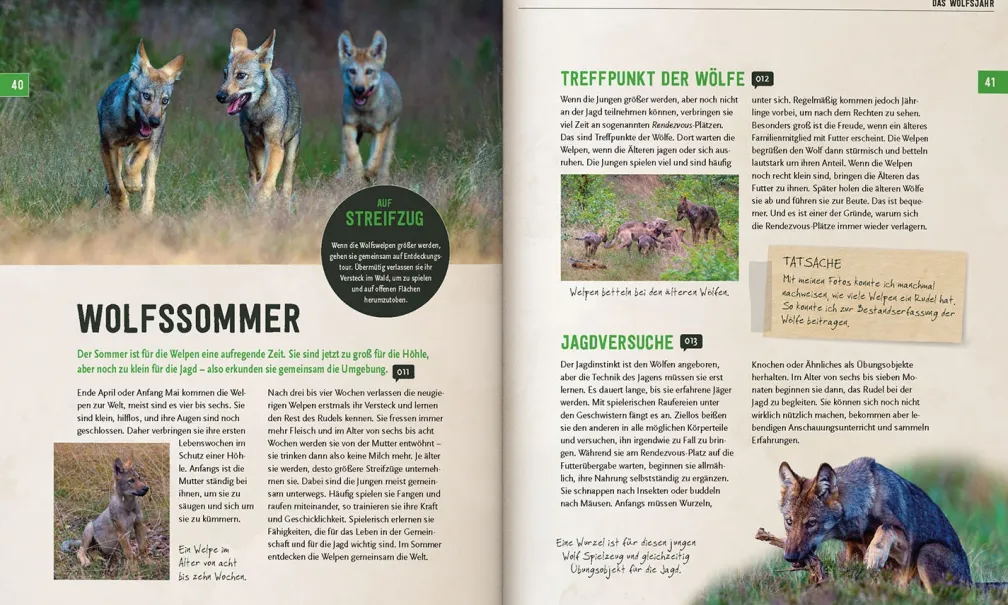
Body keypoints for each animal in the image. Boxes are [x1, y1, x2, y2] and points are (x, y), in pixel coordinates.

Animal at [97, 41, 184, 216]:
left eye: (164, 100)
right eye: (146, 96)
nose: (155, 122)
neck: (130, 128)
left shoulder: (148, 141)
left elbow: (133, 163)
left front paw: (133, 184)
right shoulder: (107, 146)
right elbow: (116, 184)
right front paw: (122, 207)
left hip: (154, 152)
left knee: (150, 185)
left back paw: (145, 213)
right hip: (118, 151)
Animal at [216, 28, 302, 210]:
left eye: (241, 75)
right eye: (225, 75)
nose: (219, 96)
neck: (258, 115)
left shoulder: (275, 146)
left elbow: (267, 178)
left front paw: (263, 201)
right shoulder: (254, 146)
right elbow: (262, 176)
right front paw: (260, 201)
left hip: (291, 151)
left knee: (287, 182)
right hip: (250, 150)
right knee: (254, 175)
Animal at [337, 30, 403, 183]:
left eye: (369, 71)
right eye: (352, 71)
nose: (359, 89)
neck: (364, 110)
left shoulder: (380, 131)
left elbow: (376, 157)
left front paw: (369, 173)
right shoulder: (349, 125)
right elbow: (353, 152)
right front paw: (358, 173)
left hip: (391, 133)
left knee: (385, 160)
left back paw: (383, 178)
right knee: (344, 156)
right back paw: (340, 177)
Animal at [778, 457, 1008, 593]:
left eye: (811, 523)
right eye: (789, 521)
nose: (789, 557)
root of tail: (971, 582)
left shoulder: (905, 550)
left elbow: (885, 528)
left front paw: (875, 555)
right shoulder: (851, 550)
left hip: (927, 551)